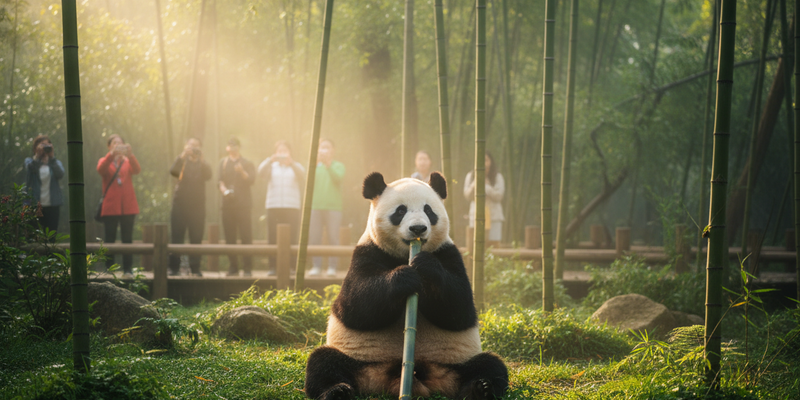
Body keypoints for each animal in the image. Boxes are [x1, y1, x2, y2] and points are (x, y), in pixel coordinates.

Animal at [304, 171, 508, 400]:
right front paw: (404, 277)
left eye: (429, 210)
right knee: (323, 362)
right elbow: (354, 306)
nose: (418, 228)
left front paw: (426, 266)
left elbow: (460, 308)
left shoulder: (448, 253)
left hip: (457, 361)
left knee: (490, 364)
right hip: (358, 359)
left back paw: (480, 388)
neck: (405, 254)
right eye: (400, 211)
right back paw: (337, 390)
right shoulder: (367, 252)